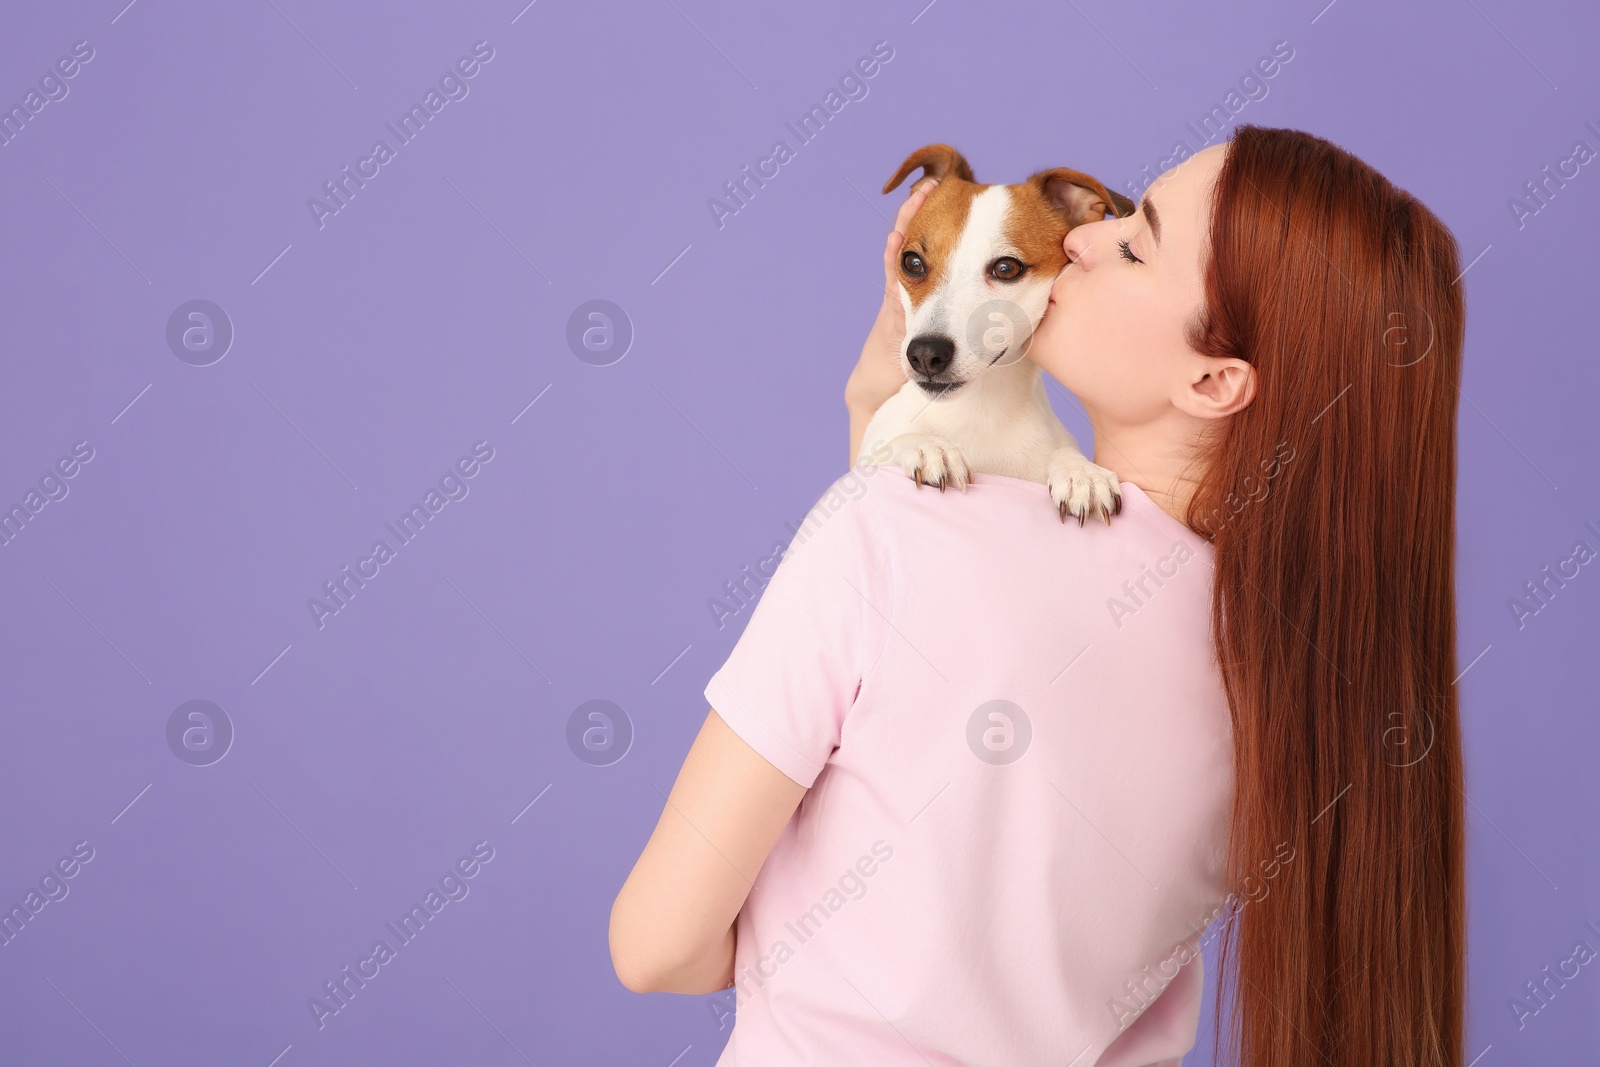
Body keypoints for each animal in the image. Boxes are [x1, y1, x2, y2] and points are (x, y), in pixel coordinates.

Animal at [864, 141, 1139, 524]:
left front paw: (1082, 471)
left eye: (1006, 268)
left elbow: (1064, 452)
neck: (980, 409)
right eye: (912, 262)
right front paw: (927, 446)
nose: (925, 354)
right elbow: (889, 444)